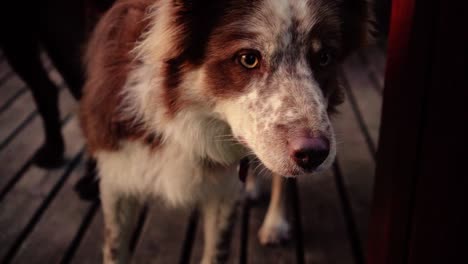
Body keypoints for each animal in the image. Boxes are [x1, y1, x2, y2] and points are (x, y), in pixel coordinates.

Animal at [79, 0, 372, 262]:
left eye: (324, 58)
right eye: (248, 59)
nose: (314, 155)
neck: (179, 122)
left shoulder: (223, 190)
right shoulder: (117, 180)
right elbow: (114, 249)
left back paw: (274, 224)